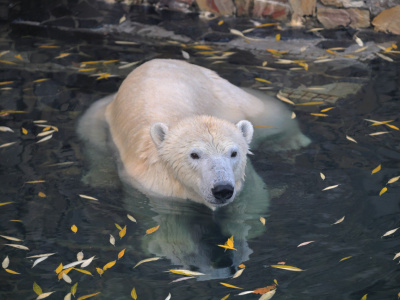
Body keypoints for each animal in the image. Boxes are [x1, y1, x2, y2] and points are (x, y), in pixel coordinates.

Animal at [77, 58, 310, 209]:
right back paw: (99, 178)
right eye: (194, 155)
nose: (222, 189)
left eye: (234, 153)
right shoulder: (153, 189)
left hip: (224, 93)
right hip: (100, 114)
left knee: (268, 112)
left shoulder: (244, 182)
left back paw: (294, 141)